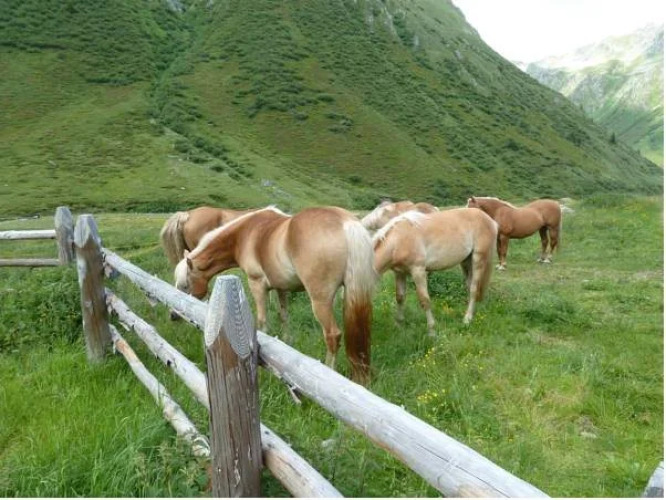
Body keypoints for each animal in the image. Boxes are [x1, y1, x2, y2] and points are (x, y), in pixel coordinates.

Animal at [174, 206, 377, 385]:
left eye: (185, 285)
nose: (173, 316)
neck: (243, 235)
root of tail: (346, 222)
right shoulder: (282, 288)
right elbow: (283, 316)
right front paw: (287, 344)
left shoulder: (257, 285)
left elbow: (263, 322)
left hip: (320, 301)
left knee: (332, 335)